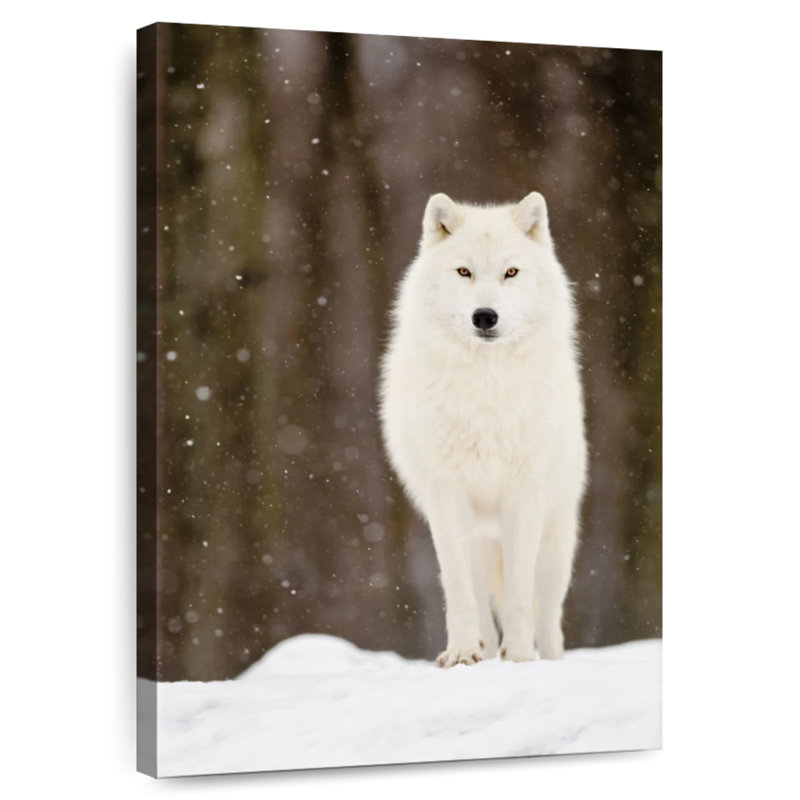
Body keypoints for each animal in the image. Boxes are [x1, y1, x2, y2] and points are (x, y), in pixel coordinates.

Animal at [379, 192, 587, 667]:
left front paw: (521, 658)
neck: (486, 391)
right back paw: (483, 652)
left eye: (511, 272)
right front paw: (460, 653)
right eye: (464, 272)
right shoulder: (447, 497)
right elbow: (459, 593)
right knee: (480, 602)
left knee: (549, 615)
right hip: (477, 539)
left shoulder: (524, 497)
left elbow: (519, 597)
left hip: (556, 540)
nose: (485, 316)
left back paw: (547, 659)